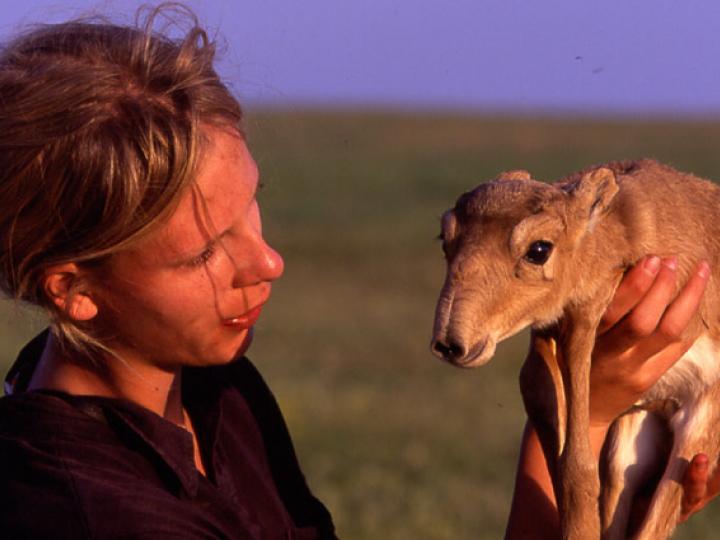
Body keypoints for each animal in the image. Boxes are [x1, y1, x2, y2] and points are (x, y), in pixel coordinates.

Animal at [434, 161, 720, 540]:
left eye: (539, 249)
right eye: (445, 239)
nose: (450, 342)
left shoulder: (584, 318)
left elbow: (577, 462)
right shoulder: (545, 342)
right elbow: (566, 455)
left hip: (699, 426)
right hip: (631, 442)